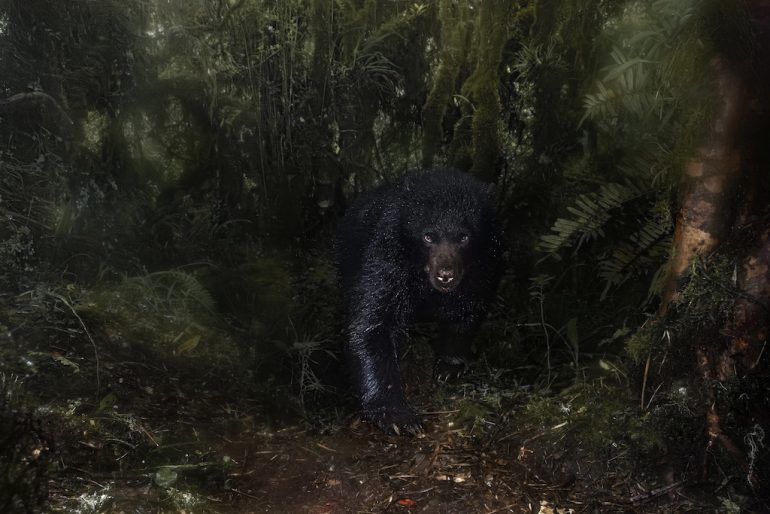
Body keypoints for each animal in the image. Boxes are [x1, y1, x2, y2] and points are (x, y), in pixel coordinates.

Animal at [338, 168, 502, 434]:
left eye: (464, 237)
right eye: (428, 236)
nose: (446, 274)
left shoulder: (485, 263)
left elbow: (469, 308)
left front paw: (449, 367)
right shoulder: (386, 258)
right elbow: (371, 324)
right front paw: (397, 415)